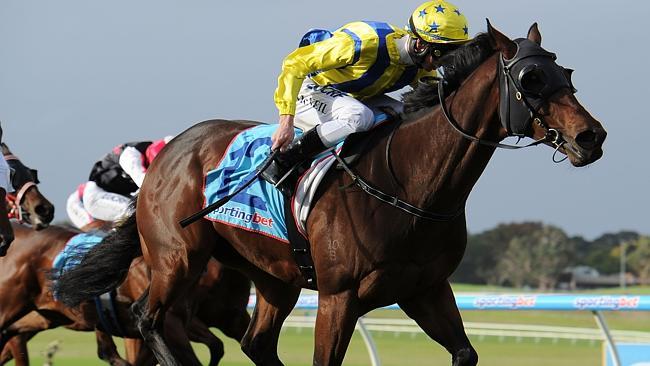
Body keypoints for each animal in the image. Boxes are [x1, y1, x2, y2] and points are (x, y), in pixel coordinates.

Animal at [54, 22, 604, 366]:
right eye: (531, 77)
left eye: (567, 73)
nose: (591, 136)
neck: (410, 186)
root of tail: (169, 152)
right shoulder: (339, 298)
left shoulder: (425, 289)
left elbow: (464, 352)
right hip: (177, 257)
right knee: (148, 319)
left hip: (273, 277)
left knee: (256, 344)